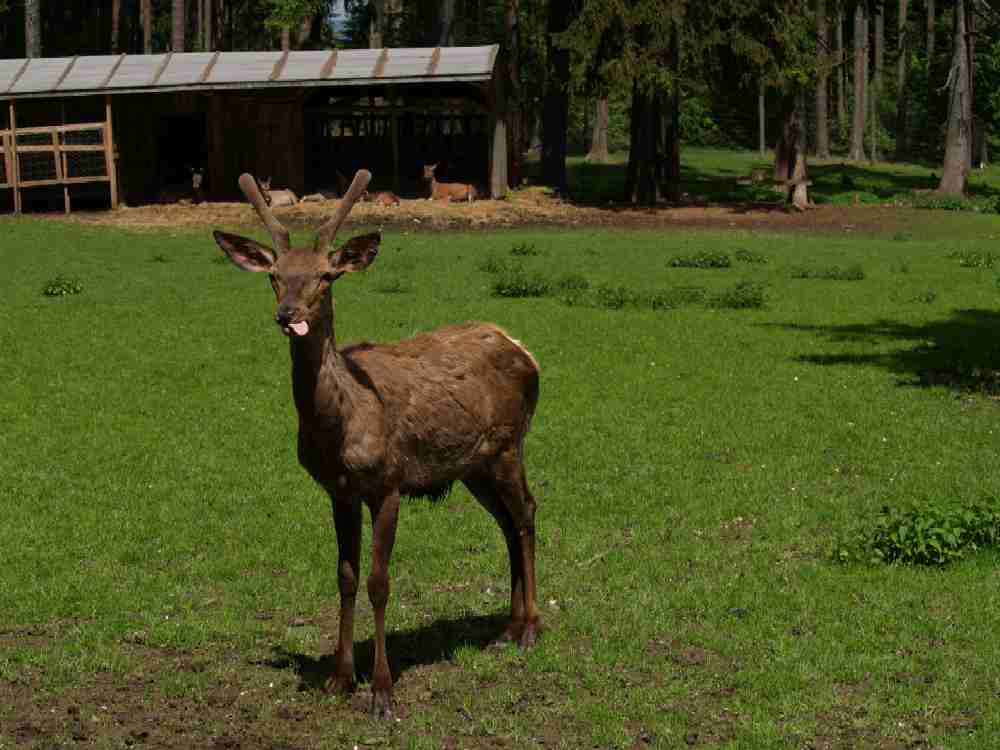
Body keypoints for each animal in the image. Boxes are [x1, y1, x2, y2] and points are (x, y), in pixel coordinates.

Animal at [208, 170, 544, 724]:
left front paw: (382, 691)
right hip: (474, 467)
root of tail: (524, 350)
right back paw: (509, 627)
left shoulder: (388, 484)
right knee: (505, 523)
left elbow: (379, 581)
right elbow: (345, 577)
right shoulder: (337, 491)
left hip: (508, 445)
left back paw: (531, 628)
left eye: (327, 276)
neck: (339, 429)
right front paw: (340, 678)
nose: (288, 314)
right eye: (274, 275)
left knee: (526, 516)